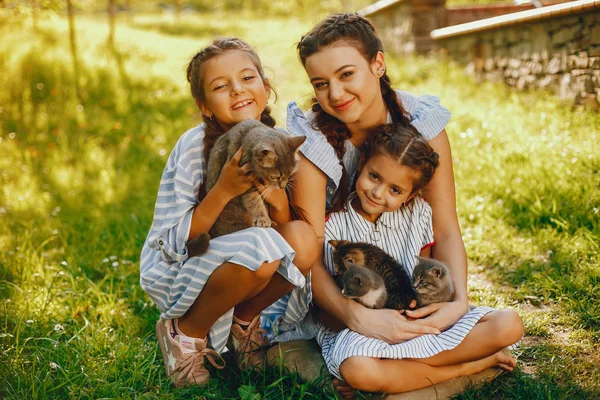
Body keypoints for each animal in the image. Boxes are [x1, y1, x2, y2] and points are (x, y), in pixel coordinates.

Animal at [188, 119, 308, 258]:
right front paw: (263, 219)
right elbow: (255, 202)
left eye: (290, 174)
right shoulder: (247, 186)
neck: (248, 133)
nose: (282, 186)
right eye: (275, 177)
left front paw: (268, 219)